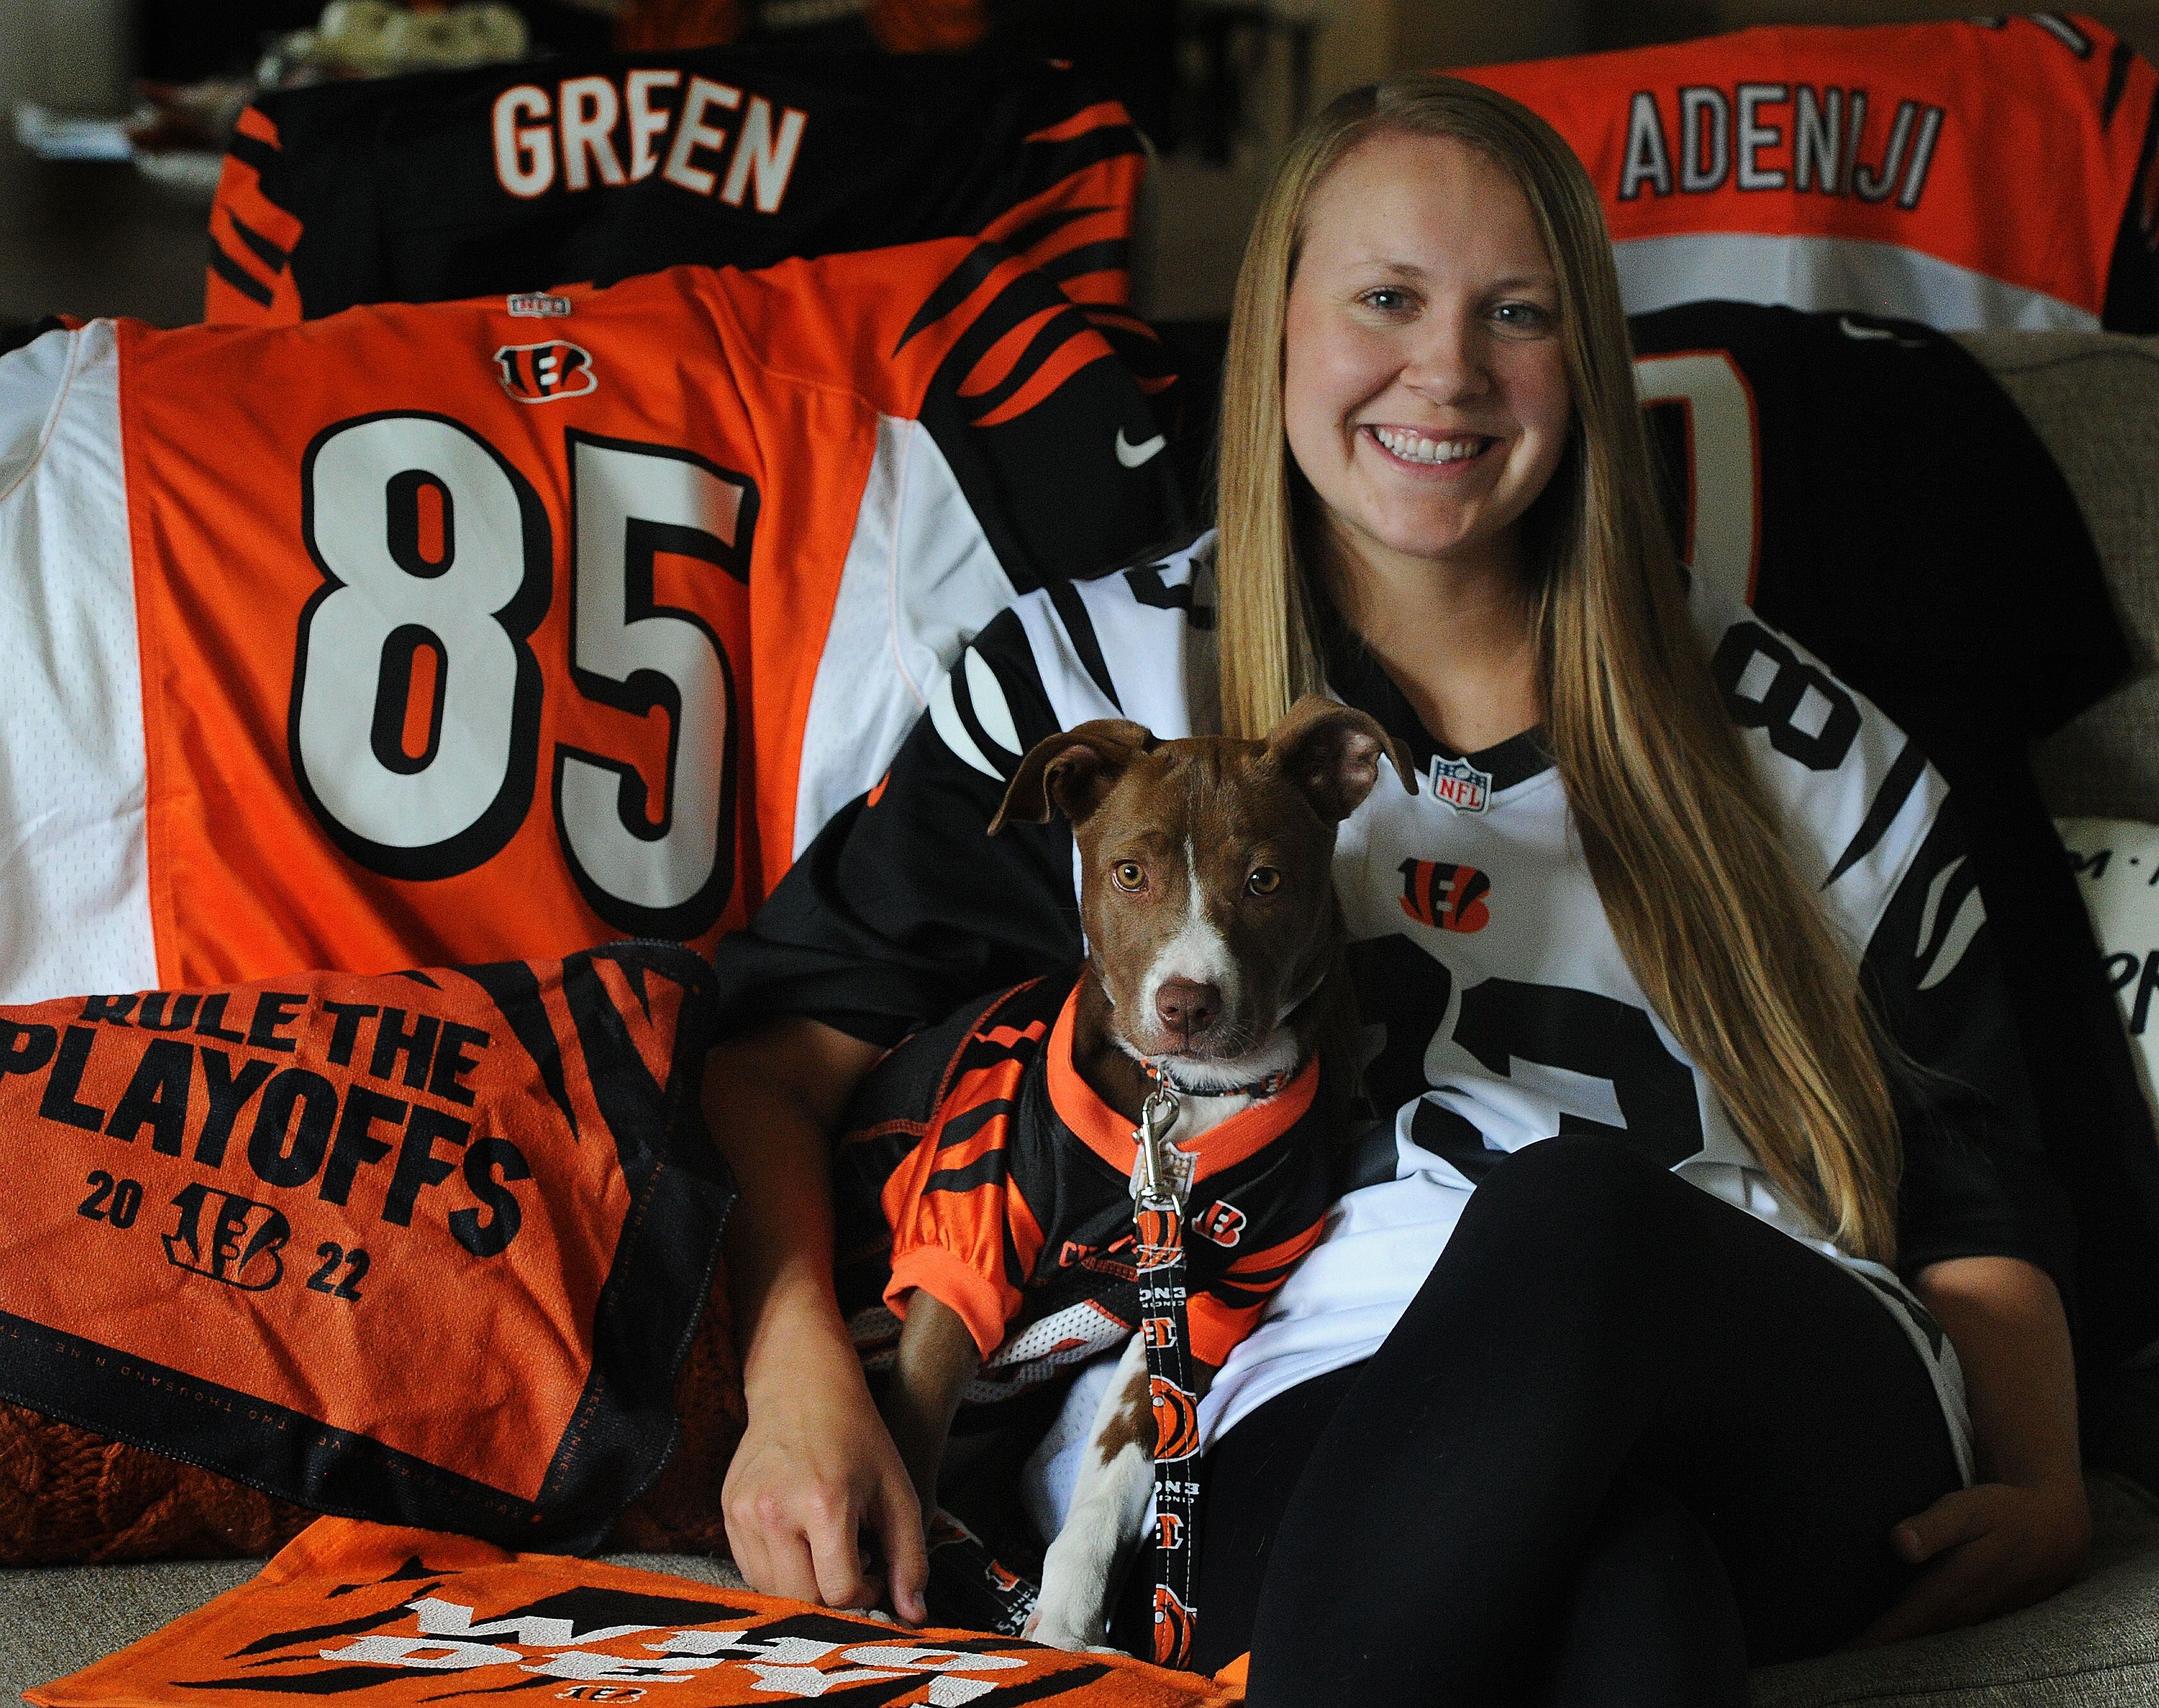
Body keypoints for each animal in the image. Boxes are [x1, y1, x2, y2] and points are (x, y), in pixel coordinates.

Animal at [876, 695, 1416, 1658]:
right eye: (1129, 873)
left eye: (1265, 881)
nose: (1187, 1006)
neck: (1184, 1099)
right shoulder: (961, 1250)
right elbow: (910, 1442)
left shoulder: (1206, 1299)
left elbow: (1122, 1463)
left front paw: (1065, 1617)